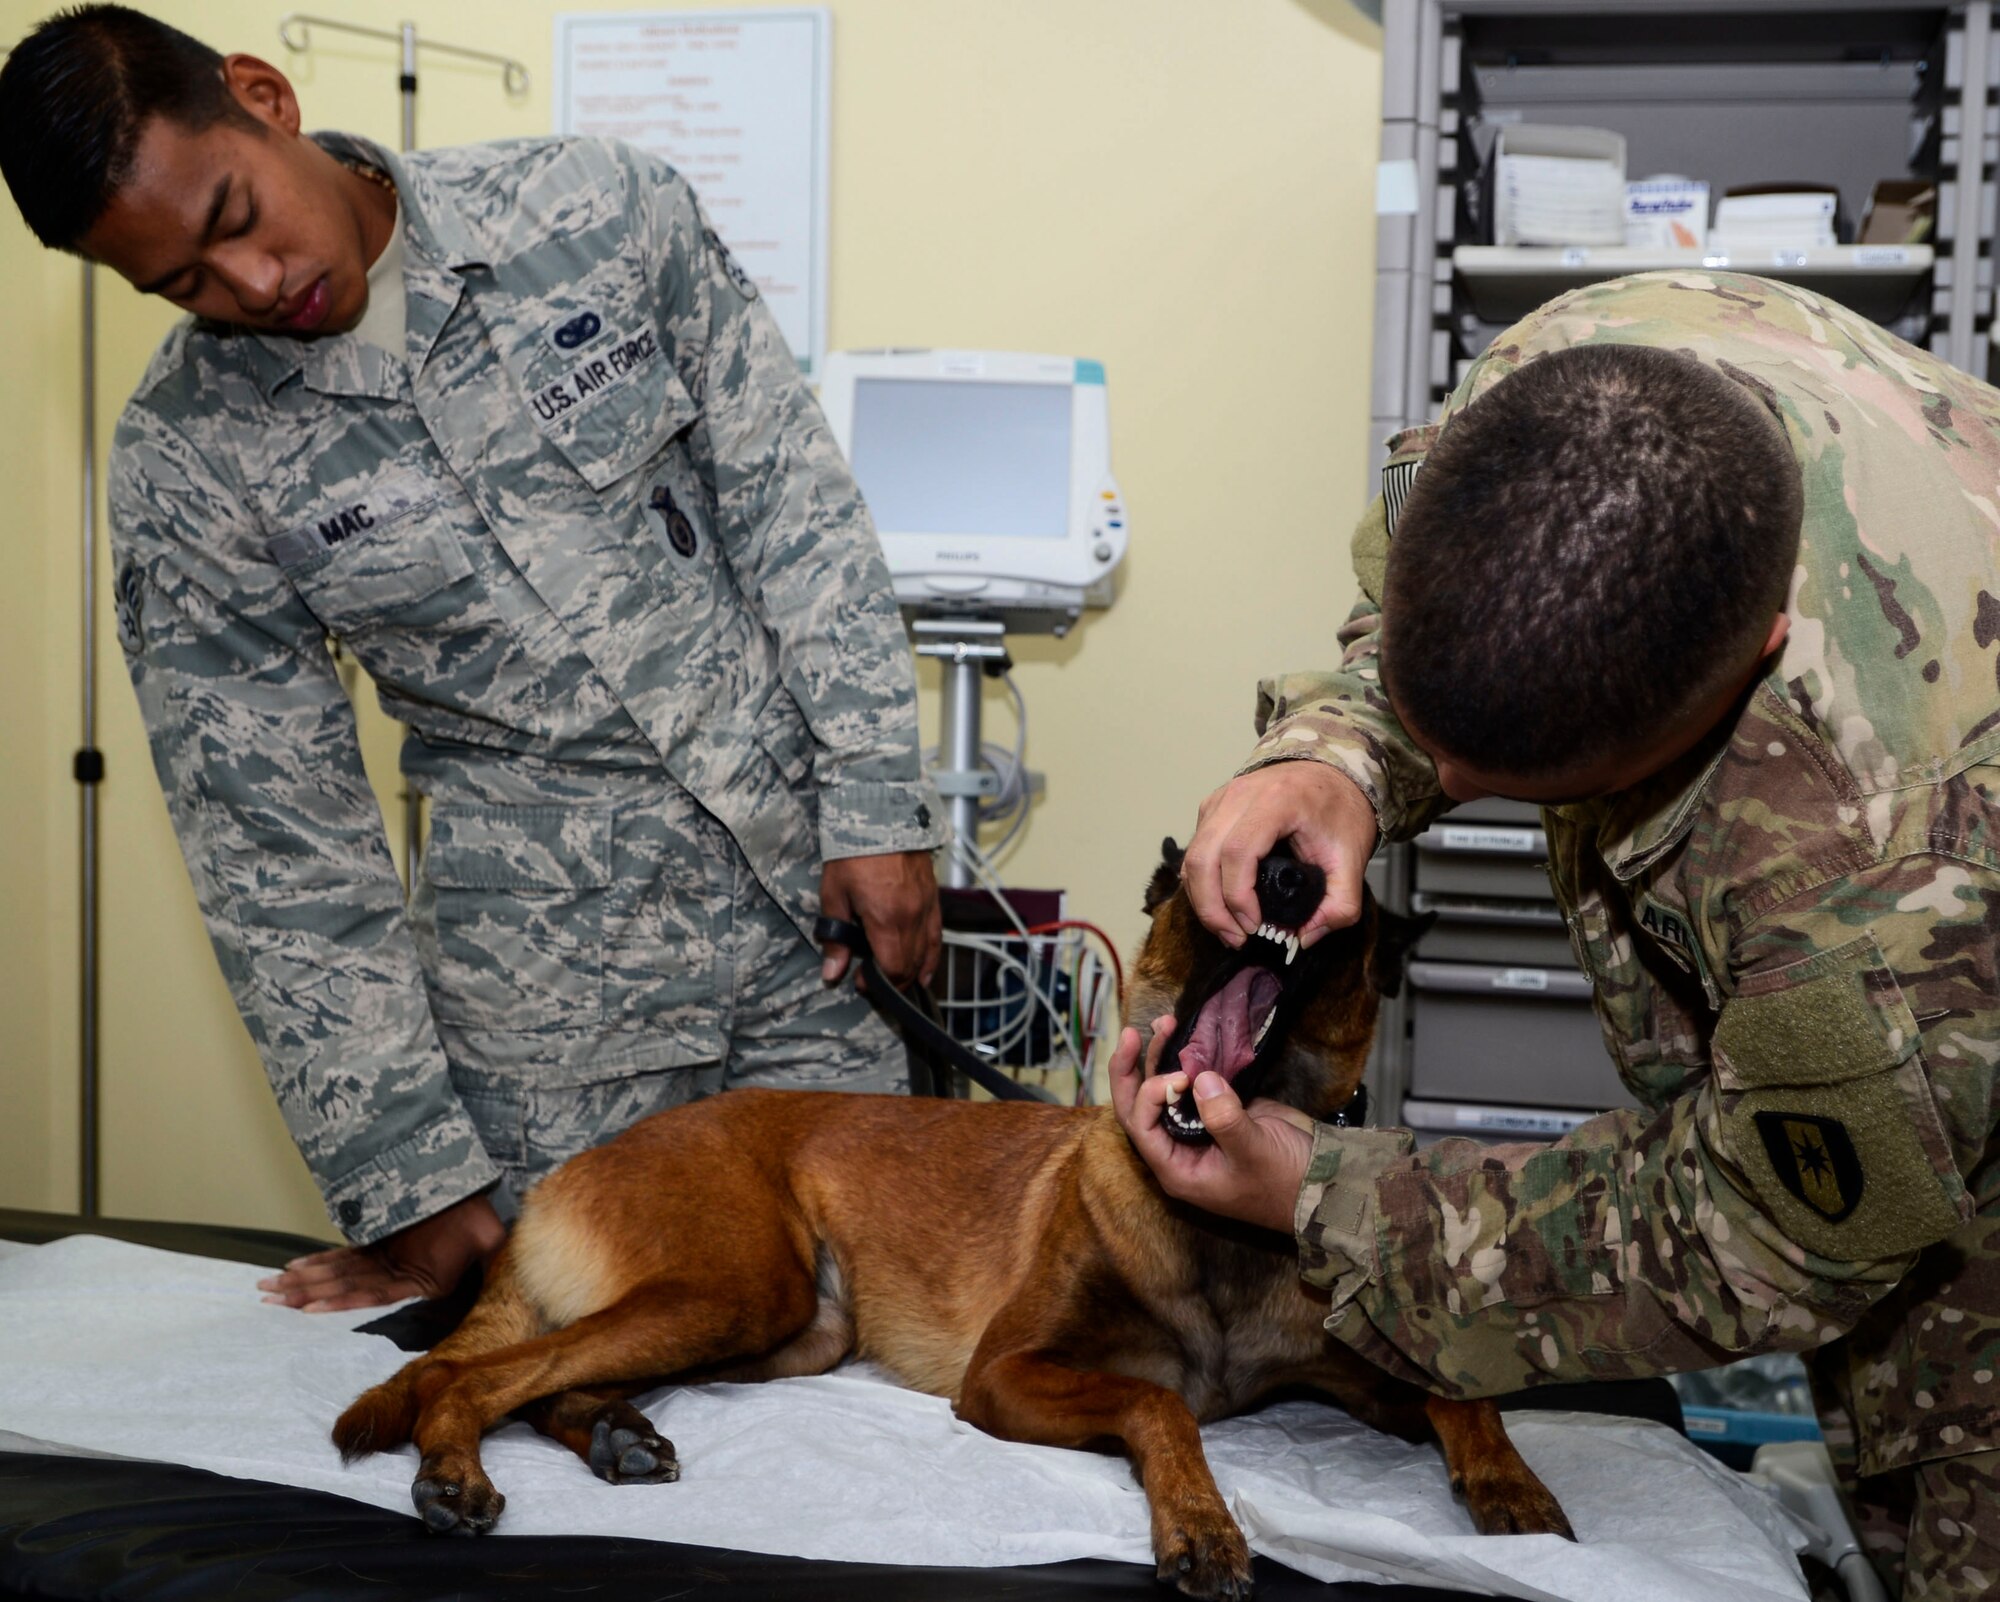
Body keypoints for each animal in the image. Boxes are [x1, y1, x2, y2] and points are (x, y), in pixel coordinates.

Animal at [336, 844, 1568, 1592]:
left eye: (1343, 906)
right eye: (1205, 879)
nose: (1282, 869)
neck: (1208, 1221)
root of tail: (569, 1168)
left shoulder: (1353, 1381)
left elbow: (1457, 1397)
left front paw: (1508, 1481)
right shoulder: (1006, 1377)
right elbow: (1158, 1404)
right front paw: (1200, 1521)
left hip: (788, 1330)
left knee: (540, 1375)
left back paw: (613, 1434)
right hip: (738, 1290)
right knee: (465, 1374)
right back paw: (458, 1470)